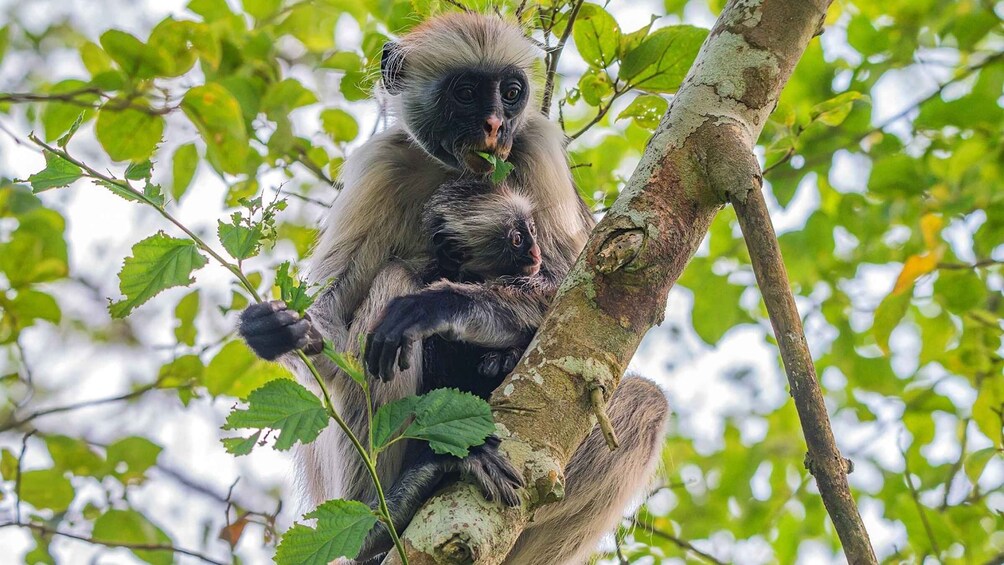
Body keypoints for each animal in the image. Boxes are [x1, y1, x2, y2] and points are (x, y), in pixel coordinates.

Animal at [238, 11, 670, 561]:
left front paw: (444, 306)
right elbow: (332, 328)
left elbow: (584, 292)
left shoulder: (538, 147)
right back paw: (385, 513)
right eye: (465, 93)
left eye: (510, 92)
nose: (494, 124)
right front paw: (285, 329)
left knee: (645, 404)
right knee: (391, 289)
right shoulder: (382, 162)